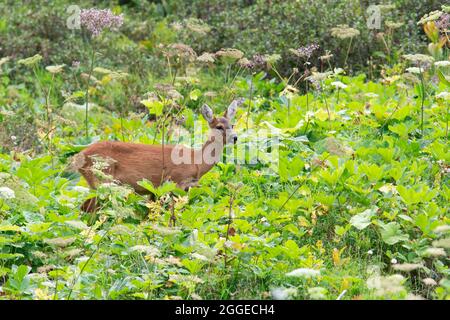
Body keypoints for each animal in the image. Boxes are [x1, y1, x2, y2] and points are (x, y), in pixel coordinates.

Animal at [74, 99, 243, 211]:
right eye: (219, 127)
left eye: (232, 124)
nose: (235, 137)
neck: (196, 161)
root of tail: (79, 157)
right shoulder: (175, 181)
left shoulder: (159, 190)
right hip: (101, 179)